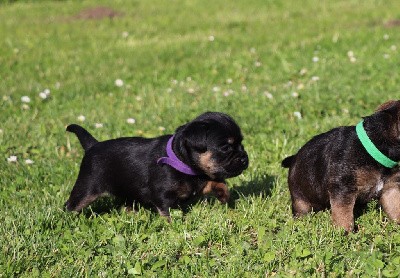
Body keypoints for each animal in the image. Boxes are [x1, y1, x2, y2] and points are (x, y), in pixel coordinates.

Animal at [64, 112, 248, 220]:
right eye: (225, 147)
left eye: (241, 143)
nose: (245, 158)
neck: (182, 162)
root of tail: (92, 145)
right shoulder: (163, 197)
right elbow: (167, 213)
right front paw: (173, 226)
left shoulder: (199, 182)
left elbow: (217, 183)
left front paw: (224, 196)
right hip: (86, 189)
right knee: (71, 205)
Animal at [282, 100, 400, 232]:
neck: (375, 147)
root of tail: (294, 157)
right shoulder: (343, 189)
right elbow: (343, 214)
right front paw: (345, 233)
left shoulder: (391, 188)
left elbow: (395, 206)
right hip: (300, 199)